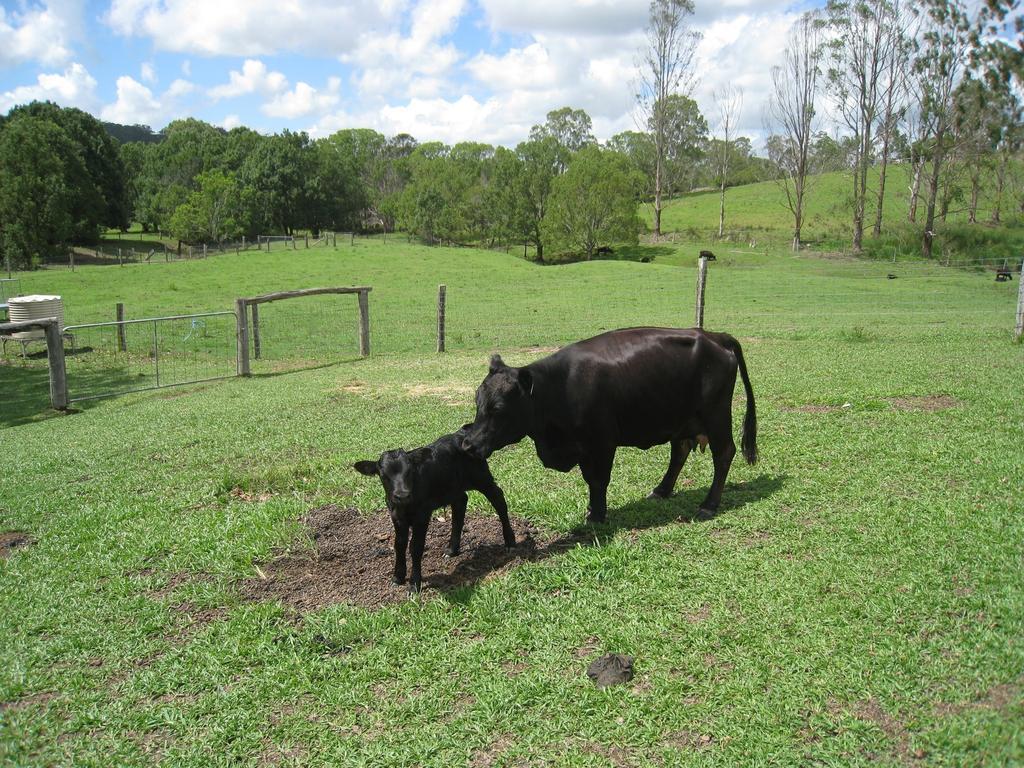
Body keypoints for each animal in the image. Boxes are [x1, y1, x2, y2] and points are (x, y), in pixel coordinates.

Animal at [354, 428, 516, 593]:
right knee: (460, 503)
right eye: (383, 475)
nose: (402, 495)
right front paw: (398, 577)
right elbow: (399, 544)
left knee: (498, 499)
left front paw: (414, 583)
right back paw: (452, 549)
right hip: (453, 486)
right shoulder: (396, 516)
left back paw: (510, 541)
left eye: (410, 471)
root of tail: (461, 433)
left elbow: (415, 546)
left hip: (481, 477)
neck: (405, 506)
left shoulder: (422, 514)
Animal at [460, 327, 757, 528]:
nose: (468, 445)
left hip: (716, 415)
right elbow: (590, 479)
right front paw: (593, 509)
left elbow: (598, 479)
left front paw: (597, 514)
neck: (559, 388)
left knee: (724, 453)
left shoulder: (602, 442)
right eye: (477, 400)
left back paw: (709, 504)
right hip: (680, 418)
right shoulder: (582, 447)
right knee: (680, 451)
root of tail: (714, 336)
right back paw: (661, 490)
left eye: (499, 409)